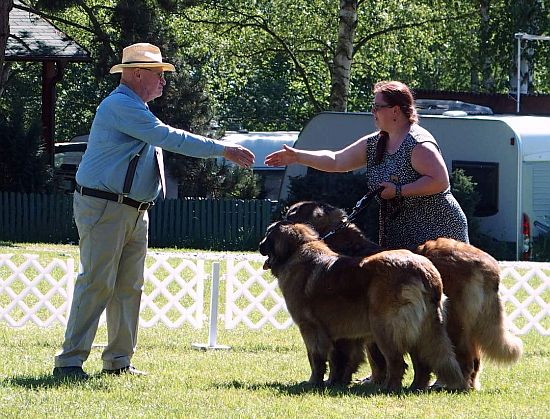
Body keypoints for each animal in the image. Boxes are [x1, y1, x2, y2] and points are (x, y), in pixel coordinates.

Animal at [260, 221, 468, 392]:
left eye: (268, 236)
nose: (260, 245)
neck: (296, 251)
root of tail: (426, 272)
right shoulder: (340, 333)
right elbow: (338, 359)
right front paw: (335, 382)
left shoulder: (310, 328)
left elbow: (316, 358)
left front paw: (314, 382)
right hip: (423, 329)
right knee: (422, 364)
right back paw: (415, 387)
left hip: (384, 327)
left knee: (397, 362)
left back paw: (388, 388)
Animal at [286, 201, 524, 390]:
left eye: (290, 214)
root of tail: (488, 264)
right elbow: (371, 357)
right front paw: (371, 380)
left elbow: (357, 356)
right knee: (472, 359)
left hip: (455, 322)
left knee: (464, 358)